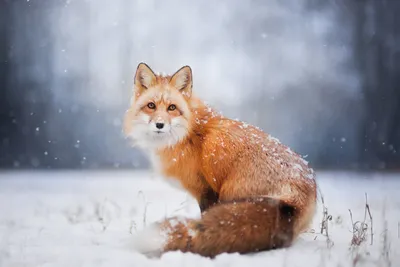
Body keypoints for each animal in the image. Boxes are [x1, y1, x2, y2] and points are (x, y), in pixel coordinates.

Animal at [123, 63, 318, 260]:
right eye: (151, 105)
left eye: (172, 107)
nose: (160, 125)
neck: (189, 134)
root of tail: (296, 198)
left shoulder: (206, 190)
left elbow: (203, 219)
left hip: (230, 193)